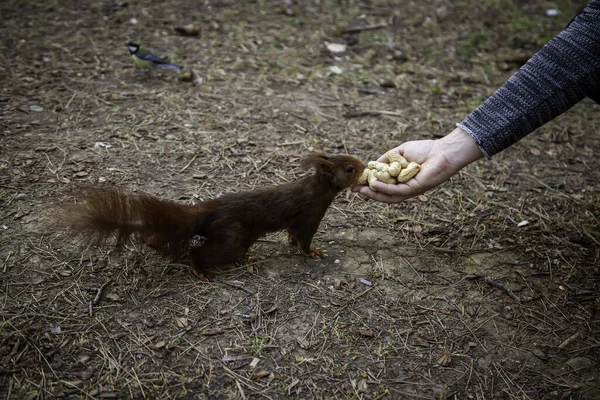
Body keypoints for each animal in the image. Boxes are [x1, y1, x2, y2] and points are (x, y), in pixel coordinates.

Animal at [61, 153, 364, 278]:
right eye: (350, 169)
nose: (362, 165)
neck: (318, 189)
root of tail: (208, 211)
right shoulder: (310, 214)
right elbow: (303, 239)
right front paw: (313, 253)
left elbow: (291, 233)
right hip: (232, 238)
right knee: (200, 252)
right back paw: (201, 271)